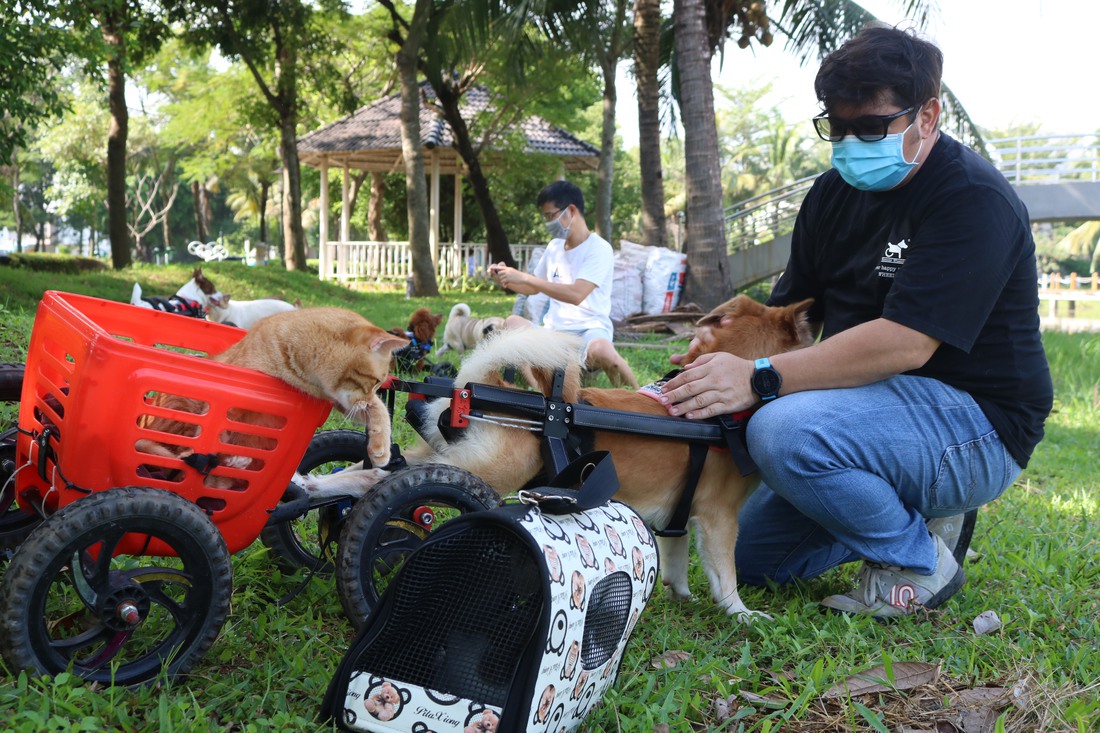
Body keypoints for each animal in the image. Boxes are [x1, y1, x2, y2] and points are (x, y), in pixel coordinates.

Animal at [135, 305, 407, 482]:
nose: (370, 396)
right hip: (182, 406)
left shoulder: (338, 400)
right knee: (172, 455)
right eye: (375, 381)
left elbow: (380, 409)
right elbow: (218, 429)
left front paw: (380, 447)